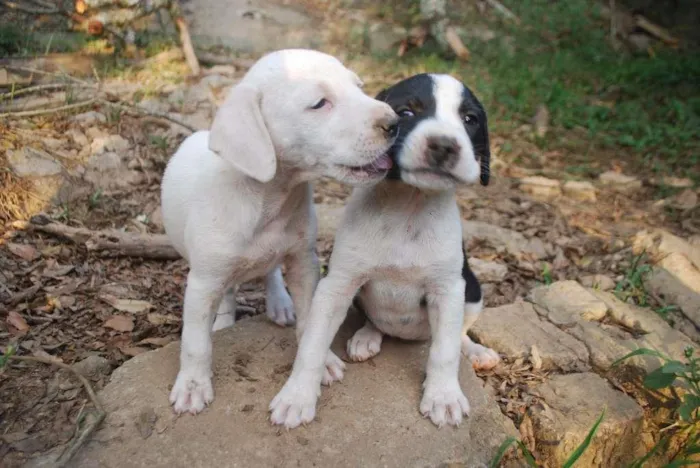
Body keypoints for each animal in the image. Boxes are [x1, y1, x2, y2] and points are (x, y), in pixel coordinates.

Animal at [161, 48, 396, 414]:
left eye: (359, 87)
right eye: (319, 103)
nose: (395, 123)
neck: (270, 198)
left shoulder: (304, 262)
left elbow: (310, 318)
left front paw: (321, 363)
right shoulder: (203, 281)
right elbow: (195, 341)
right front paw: (193, 385)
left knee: (269, 270)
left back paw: (279, 302)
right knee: (228, 292)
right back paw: (224, 320)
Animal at [266, 73, 498, 428]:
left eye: (470, 119)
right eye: (405, 113)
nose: (444, 145)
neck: (408, 210)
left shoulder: (448, 289)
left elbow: (444, 351)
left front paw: (443, 397)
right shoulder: (337, 286)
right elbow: (312, 345)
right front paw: (297, 396)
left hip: (472, 290)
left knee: (459, 332)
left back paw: (475, 352)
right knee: (375, 319)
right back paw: (367, 337)